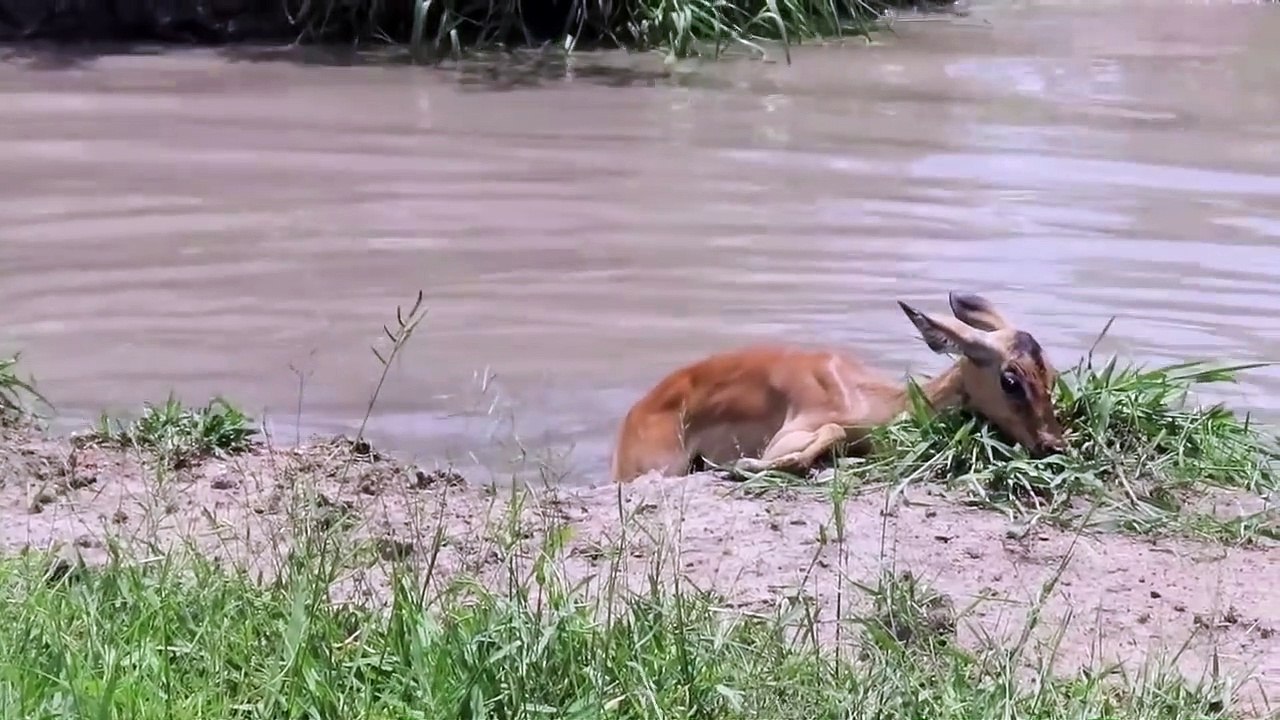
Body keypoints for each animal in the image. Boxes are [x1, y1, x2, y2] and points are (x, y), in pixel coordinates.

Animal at [610, 292, 1067, 483]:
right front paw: (744, 466)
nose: (1053, 444)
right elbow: (822, 435)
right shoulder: (796, 428)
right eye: (1010, 380)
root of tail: (634, 414)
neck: (871, 399)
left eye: (1051, 374)